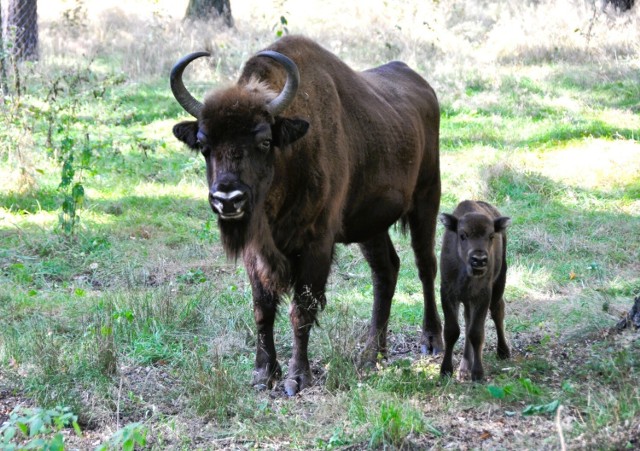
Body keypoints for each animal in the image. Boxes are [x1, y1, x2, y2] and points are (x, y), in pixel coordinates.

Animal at [169, 35, 440, 396]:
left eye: (264, 140)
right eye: (203, 145)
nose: (228, 198)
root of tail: (424, 87)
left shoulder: (316, 245)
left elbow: (302, 309)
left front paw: (297, 378)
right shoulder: (257, 252)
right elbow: (263, 309)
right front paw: (263, 374)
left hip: (427, 199)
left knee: (425, 266)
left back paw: (431, 341)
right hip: (371, 225)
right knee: (386, 272)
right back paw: (373, 355)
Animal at [438, 201, 512, 382]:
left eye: (491, 236)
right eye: (462, 235)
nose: (479, 260)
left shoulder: (483, 296)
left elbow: (476, 333)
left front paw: (478, 373)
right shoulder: (448, 294)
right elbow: (452, 331)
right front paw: (446, 370)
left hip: (499, 283)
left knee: (498, 311)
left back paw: (503, 351)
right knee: (467, 321)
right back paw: (464, 368)